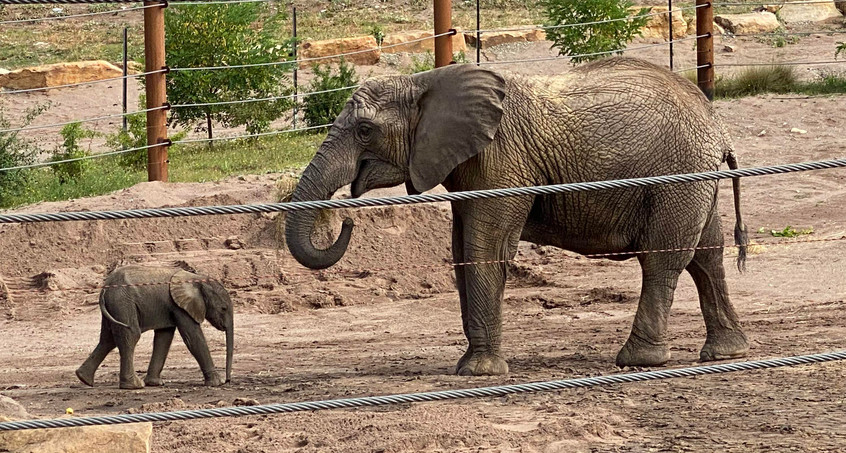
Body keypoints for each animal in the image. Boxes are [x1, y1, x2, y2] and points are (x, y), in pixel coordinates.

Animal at [76, 264, 234, 388]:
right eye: (224, 308)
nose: (228, 380)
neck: (197, 278)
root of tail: (104, 288)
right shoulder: (180, 307)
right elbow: (192, 337)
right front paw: (217, 383)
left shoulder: (170, 306)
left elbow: (164, 338)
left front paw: (155, 383)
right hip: (122, 303)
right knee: (130, 335)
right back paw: (135, 386)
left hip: (114, 305)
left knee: (108, 339)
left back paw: (84, 379)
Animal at [288, 56, 752, 374]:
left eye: (365, 130)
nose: (347, 219)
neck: (426, 81)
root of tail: (719, 126)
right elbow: (462, 250)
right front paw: (473, 364)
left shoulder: (501, 161)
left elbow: (486, 248)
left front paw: (477, 372)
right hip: (695, 177)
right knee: (707, 253)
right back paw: (727, 352)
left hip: (678, 176)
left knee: (664, 256)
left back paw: (639, 361)